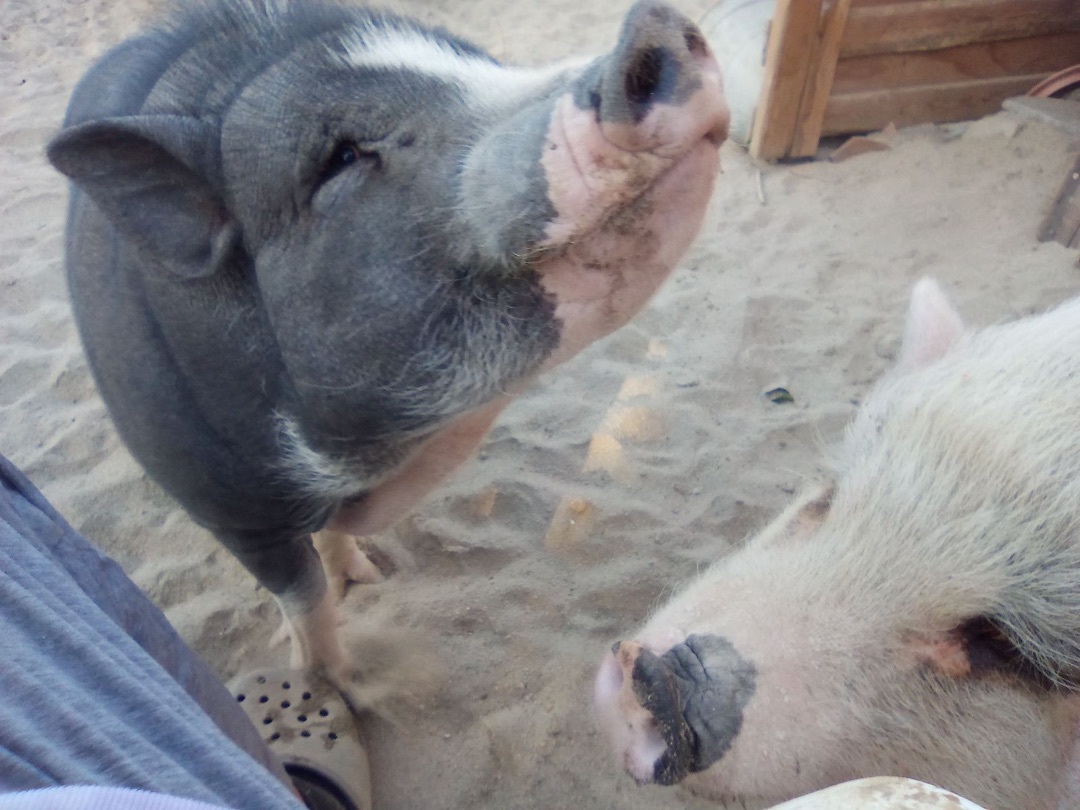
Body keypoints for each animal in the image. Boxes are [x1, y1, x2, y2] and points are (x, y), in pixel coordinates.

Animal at [45, 0, 729, 699]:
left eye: (483, 61)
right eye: (341, 155)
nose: (650, 24)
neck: (378, 464)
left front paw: (368, 591)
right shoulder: (230, 509)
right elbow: (302, 596)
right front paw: (337, 688)